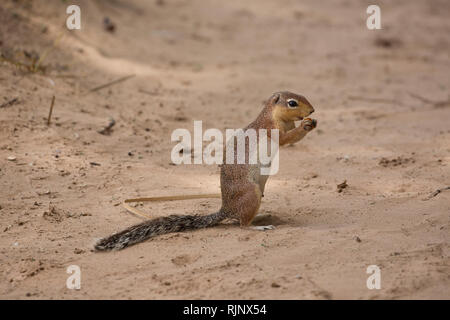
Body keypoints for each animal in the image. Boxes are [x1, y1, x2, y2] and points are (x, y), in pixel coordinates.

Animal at [94, 91, 316, 251]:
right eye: (292, 103)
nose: (312, 111)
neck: (273, 116)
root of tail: (226, 209)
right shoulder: (272, 130)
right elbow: (287, 139)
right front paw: (306, 125)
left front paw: (311, 123)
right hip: (251, 193)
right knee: (242, 224)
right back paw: (259, 226)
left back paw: (261, 216)